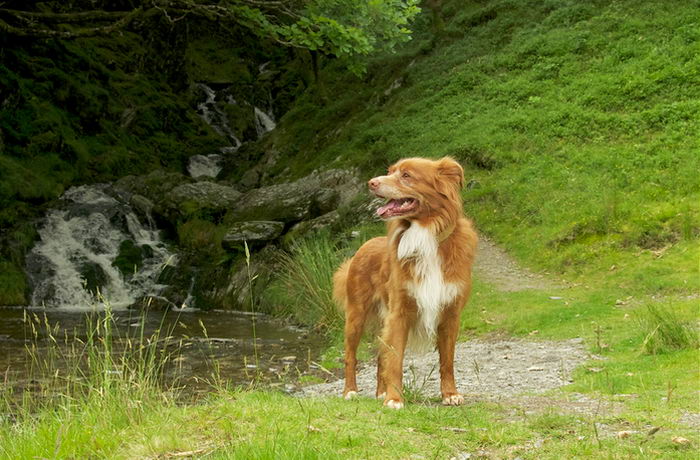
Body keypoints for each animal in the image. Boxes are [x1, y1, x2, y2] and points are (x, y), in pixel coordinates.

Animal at [332, 156, 476, 408]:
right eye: (390, 171)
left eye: (407, 175)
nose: (371, 182)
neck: (426, 234)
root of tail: (365, 244)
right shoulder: (399, 311)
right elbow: (395, 358)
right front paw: (394, 398)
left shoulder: (451, 312)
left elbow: (447, 360)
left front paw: (450, 394)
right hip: (356, 315)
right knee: (351, 356)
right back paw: (350, 391)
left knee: (381, 355)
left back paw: (380, 392)